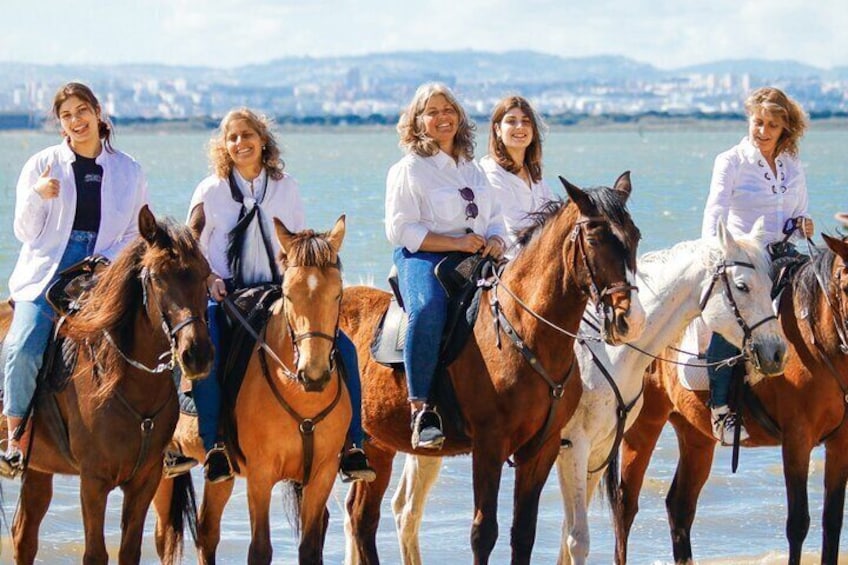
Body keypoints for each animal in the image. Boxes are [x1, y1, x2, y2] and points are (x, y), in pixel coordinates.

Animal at [0, 204, 212, 564]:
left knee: (24, 536)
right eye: (157, 277)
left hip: (39, 466)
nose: (197, 354)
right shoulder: (93, 481)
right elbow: (95, 554)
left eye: (206, 273)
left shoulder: (145, 479)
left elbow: (129, 551)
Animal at [152, 216, 352, 564]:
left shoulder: (322, 474)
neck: (303, 399)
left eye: (338, 294)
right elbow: (259, 549)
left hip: (220, 473)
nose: (313, 374)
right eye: (288, 294)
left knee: (206, 530)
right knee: (165, 536)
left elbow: (310, 548)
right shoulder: (261, 474)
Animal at [342, 173, 644, 564]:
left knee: (362, 518)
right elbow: (484, 532)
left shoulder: (542, 448)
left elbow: (523, 532)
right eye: (593, 238)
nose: (629, 320)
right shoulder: (490, 444)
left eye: (635, 236)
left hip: (377, 444)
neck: (526, 333)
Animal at [362, 217, 792, 564]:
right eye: (742, 285)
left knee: (405, 511)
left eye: (772, 282)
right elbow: (577, 538)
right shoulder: (572, 447)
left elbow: (568, 540)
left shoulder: (590, 452)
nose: (775, 352)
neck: (608, 352)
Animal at [612, 232, 848, 564]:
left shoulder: (841, 443)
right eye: (846, 286)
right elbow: (798, 523)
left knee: (680, 506)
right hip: (644, 423)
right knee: (625, 504)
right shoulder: (797, 439)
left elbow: (833, 521)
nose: (776, 356)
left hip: (695, 434)